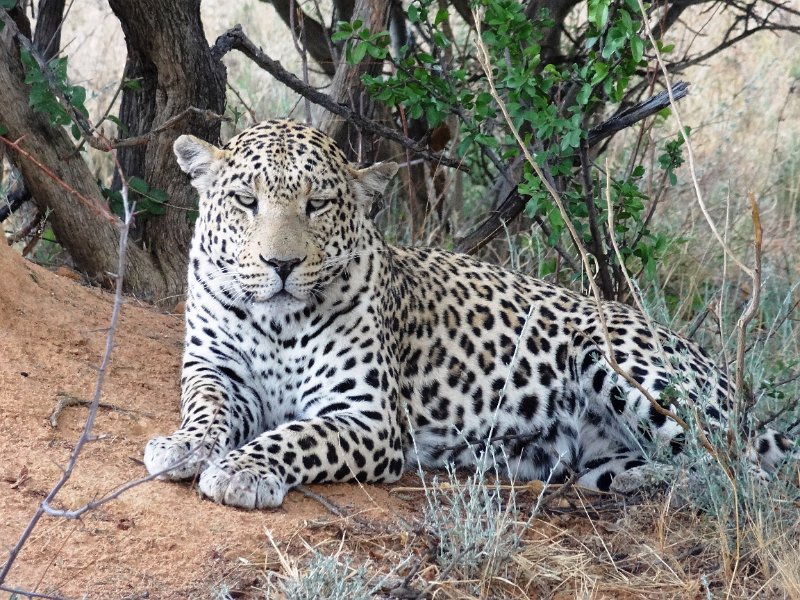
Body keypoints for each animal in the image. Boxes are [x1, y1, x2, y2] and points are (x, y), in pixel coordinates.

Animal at [144, 119, 792, 509]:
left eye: (318, 204)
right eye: (245, 200)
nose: (281, 263)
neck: (276, 322)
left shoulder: (368, 415)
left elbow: (298, 434)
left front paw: (243, 471)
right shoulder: (216, 371)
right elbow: (207, 410)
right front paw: (183, 446)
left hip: (623, 363)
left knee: (750, 479)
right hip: (603, 454)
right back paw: (639, 483)